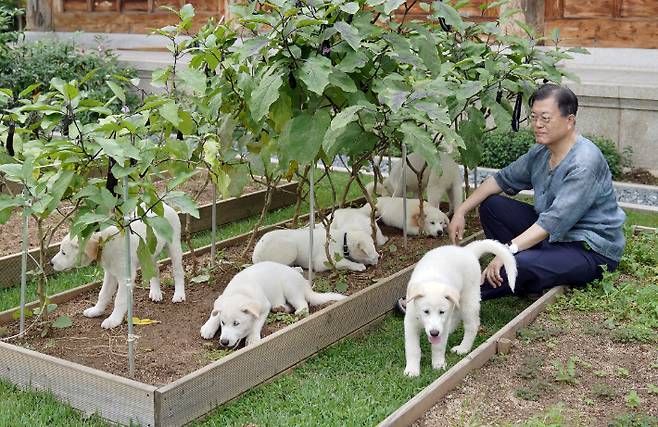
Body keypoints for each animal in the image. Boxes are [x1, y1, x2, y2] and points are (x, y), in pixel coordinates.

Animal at [50, 204, 184, 332]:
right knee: (155, 270)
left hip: (174, 246)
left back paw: (179, 294)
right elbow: (103, 294)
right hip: (149, 253)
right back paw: (156, 293)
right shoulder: (110, 274)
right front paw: (96, 310)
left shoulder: (125, 278)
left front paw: (113, 320)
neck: (104, 242)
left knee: (178, 272)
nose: (50, 263)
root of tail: (164, 206)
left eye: (63, 253)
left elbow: (119, 300)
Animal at [199, 262, 344, 350]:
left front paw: (252, 338)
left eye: (236, 323)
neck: (240, 291)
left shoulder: (264, 306)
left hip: (290, 288)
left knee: (302, 304)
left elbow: (256, 323)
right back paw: (280, 308)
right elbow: (215, 313)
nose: (224, 342)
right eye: (223, 323)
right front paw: (208, 327)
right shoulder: (221, 299)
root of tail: (304, 282)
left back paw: (299, 311)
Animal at [252, 226, 380, 272]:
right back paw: (297, 269)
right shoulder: (323, 262)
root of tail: (255, 255)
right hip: (291, 249)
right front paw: (358, 266)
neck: (344, 241)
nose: (379, 257)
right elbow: (344, 262)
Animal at [402, 241, 516, 378]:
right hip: (456, 300)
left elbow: (438, 347)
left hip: (468, 299)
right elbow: (412, 349)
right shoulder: (410, 323)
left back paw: (463, 348)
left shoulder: (443, 321)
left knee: (472, 325)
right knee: (456, 316)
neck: (432, 280)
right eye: (426, 311)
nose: (434, 333)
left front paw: (438, 364)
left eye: (441, 312)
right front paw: (412, 370)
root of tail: (467, 251)